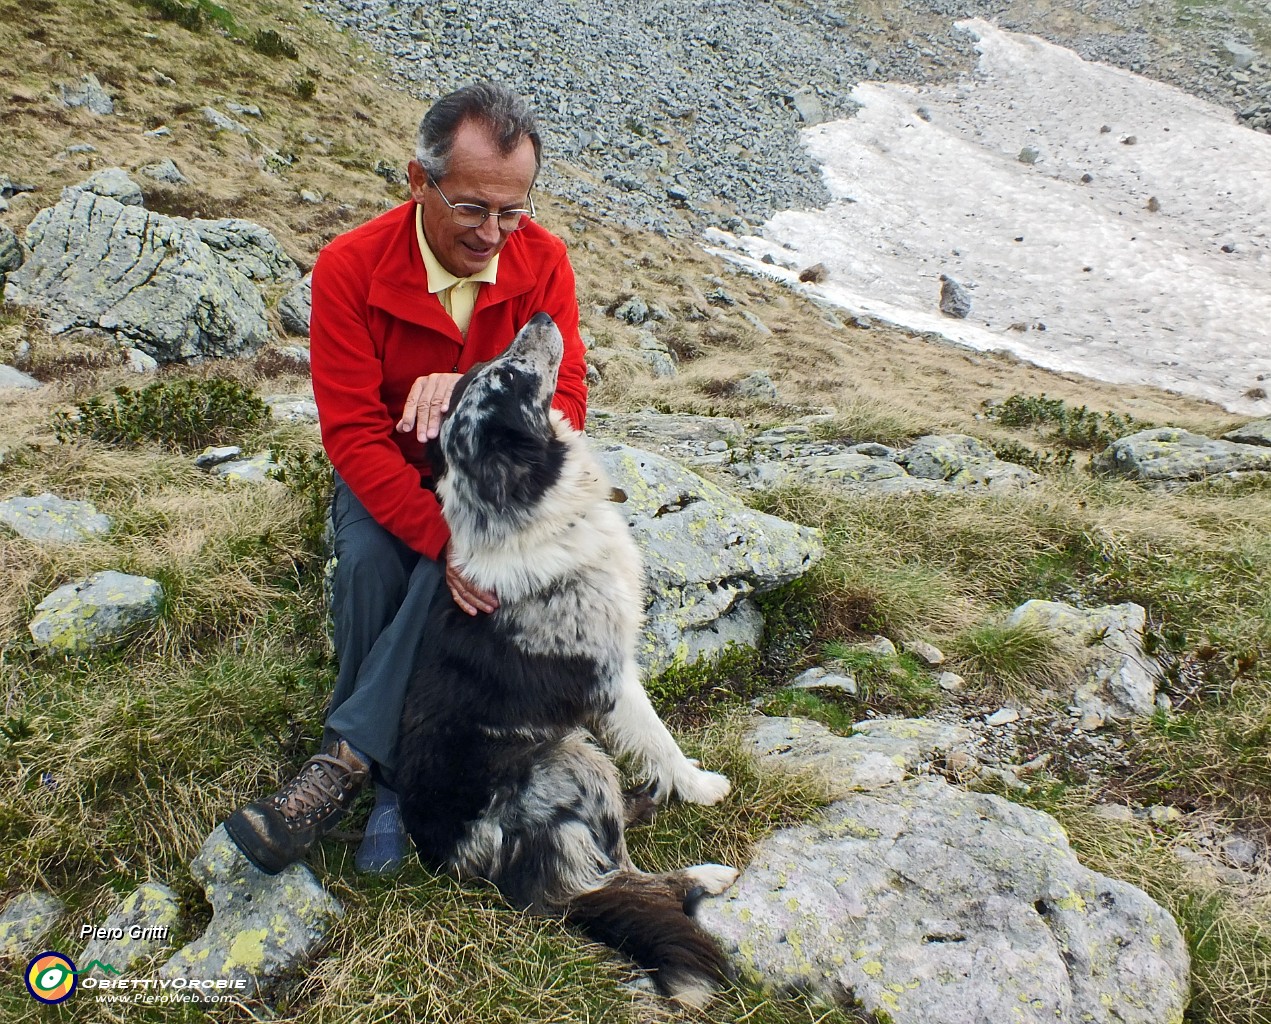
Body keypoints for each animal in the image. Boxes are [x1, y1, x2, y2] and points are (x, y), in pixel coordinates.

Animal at [394, 312, 737, 1011]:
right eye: (508, 376)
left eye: (483, 369)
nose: (543, 317)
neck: (523, 506)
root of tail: (461, 865)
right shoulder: (612, 676)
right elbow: (659, 738)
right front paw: (699, 785)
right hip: (572, 757)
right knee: (623, 878)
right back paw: (706, 875)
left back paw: (646, 805)